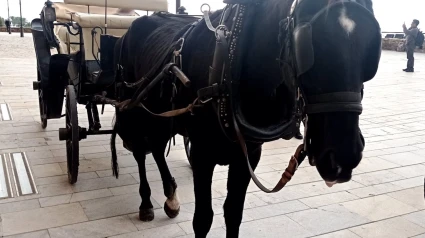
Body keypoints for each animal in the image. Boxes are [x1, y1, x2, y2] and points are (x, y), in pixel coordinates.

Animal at [111, 0, 380, 237]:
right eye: (309, 48)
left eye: (370, 48)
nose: (344, 156)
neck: (229, 62)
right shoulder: (202, 153)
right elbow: (203, 219)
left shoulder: (249, 154)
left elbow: (233, 213)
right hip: (133, 108)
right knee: (141, 150)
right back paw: (146, 202)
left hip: (162, 116)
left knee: (156, 147)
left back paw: (170, 197)